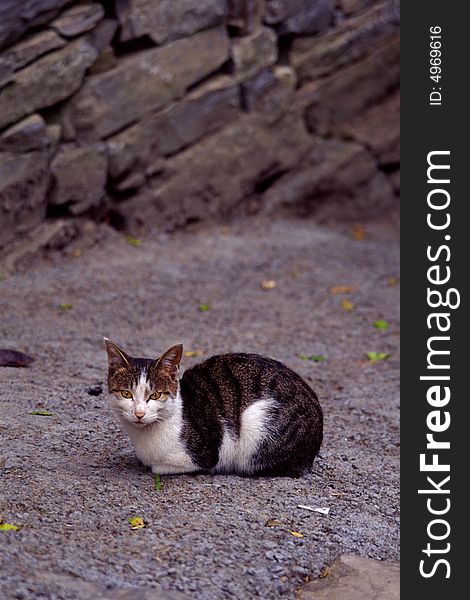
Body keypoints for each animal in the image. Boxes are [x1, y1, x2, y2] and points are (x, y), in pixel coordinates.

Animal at [103, 340, 324, 476]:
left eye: (155, 395)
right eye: (126, 394)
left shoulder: (205, 454)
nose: (139, 413)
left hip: (258, 422)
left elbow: (158, 467)